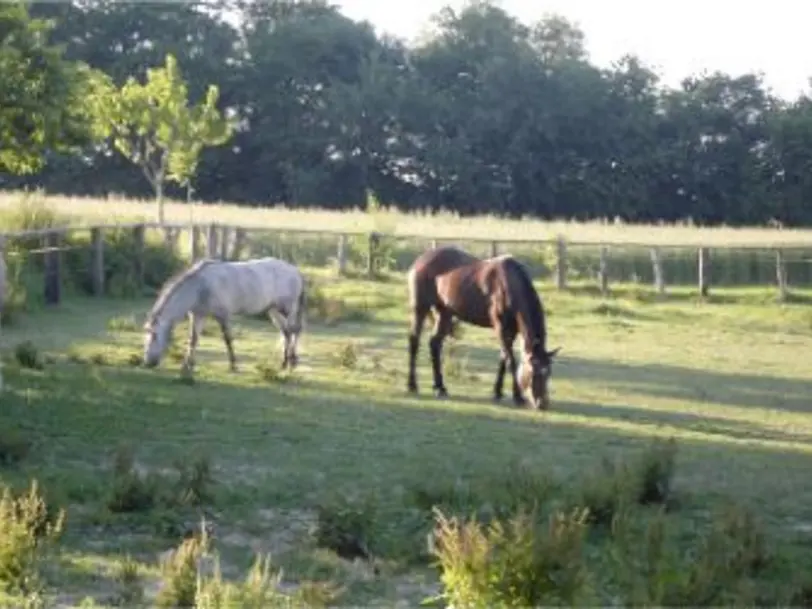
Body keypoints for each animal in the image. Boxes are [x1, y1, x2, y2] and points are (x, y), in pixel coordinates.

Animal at [141, 256, 306, 376]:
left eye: (154, 336)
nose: (148, 363)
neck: (201, 286)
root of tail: (295, 271)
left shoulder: (223, 315)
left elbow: (228, 339)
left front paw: (233, 365)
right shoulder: (198, 315)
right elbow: (193, 339)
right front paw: (187, 365)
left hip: (288, 309)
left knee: (293, 331)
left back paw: (290, 363)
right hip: (273, 311)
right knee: (286, 333)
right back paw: (285, 363)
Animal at [404, 246, 560, 408]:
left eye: (548, 372)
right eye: (533, 371)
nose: (542, 403)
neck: (510, 285)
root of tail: (420, 260)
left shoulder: (512, 331)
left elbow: (503, 357)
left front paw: (497, 392)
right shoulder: (501, 328)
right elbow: (510, 360)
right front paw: (518, 397)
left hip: (445, 313)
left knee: (434, 343)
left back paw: (440, 387)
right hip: (420, 308)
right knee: (414, 340)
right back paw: (412, 385)